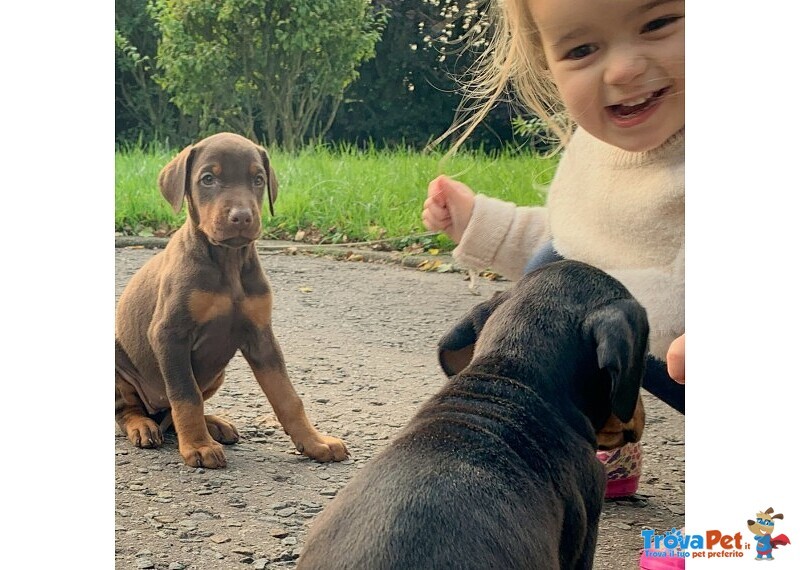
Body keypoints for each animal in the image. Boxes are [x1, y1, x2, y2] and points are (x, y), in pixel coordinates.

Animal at [115, 132, 346, 466]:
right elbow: (185, 395)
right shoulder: (169, 334)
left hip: (217, 374)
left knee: (174, 413)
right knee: (128, 409)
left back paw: (213, 424)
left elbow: (287, 396)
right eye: (208, 179)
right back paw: (143, 426)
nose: (242, 217)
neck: (228, 262)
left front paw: (315, 442)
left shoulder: (262, 337)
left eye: (258, 179)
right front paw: (198, 445)